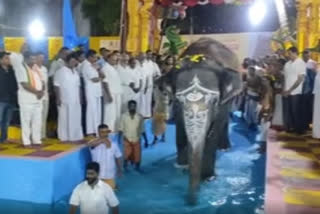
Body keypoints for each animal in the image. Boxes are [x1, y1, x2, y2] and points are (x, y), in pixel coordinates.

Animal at [154, 37, 241, 205]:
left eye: (214, 101)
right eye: (179, 102)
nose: (191, 202)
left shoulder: (222, 104)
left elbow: (213, 133)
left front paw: (208, 178)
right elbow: (180, 130)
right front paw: (181, 167)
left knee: (225, 122)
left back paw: (225, 148)